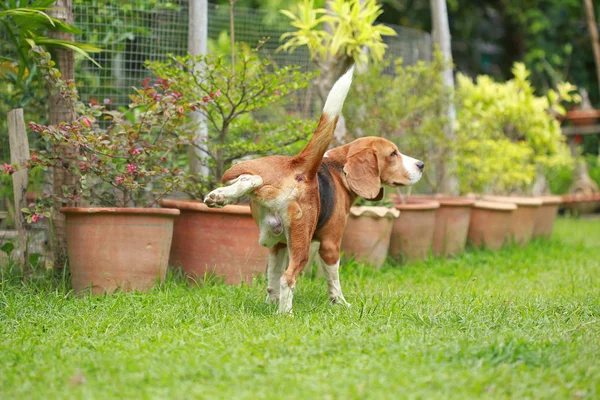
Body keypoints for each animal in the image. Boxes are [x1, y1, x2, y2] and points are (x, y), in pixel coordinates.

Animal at [204, 68, 424, 312]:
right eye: (393, 154)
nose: (421, 165)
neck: (338, 169)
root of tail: (299, 166)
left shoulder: (279, 245)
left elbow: (271, 280)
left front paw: (271, 303)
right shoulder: (330, 245)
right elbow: (333, 281)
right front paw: (340, 303)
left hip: (250, 180)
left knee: (250, 179)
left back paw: (221, 195)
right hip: (302, 242)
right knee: (288, 278)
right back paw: (286, 313)